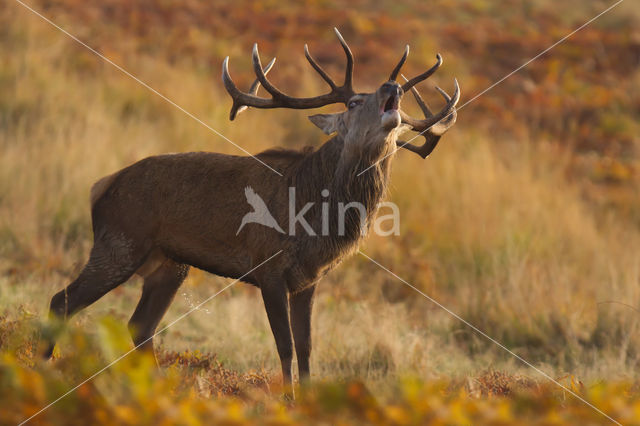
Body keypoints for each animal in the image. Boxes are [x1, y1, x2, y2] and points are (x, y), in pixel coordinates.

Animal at [41, 28, 460, 392]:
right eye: (355, 102)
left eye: (396, 103)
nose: (394, 87)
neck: (314, 218)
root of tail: (101, 186)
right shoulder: (268, 266)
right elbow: (284, 346)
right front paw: (288, 398)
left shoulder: (309, 280)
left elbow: (307, 347)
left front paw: (308, 398)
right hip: (120, 242)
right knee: (62, 301)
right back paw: (43, 365)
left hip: (169, 264)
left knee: (139, 327)